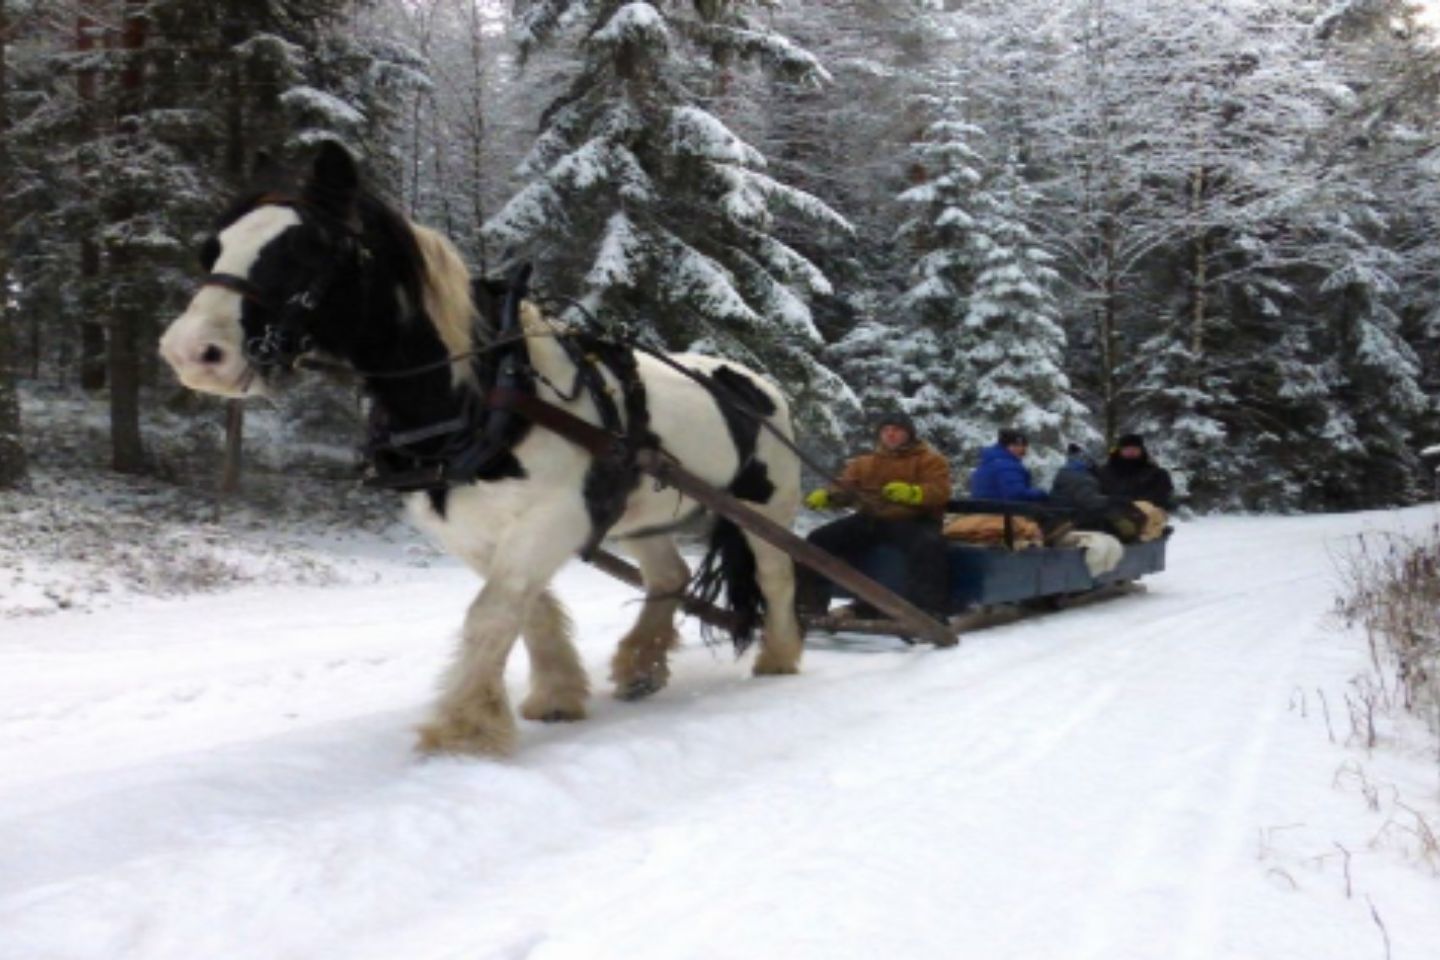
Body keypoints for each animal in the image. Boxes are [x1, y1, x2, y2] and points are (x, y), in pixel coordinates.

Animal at [165, 142, 812, 759]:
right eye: (212, 249)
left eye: (306, 250)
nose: (191, 352)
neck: (487, 392)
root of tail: (758, 383)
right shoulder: (469, 531)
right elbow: (527, 607)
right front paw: (556, 694)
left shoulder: (554, 516)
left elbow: (492, 612)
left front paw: (463, 730)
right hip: (641, 516)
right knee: (669, 575)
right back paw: (641, 665)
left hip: (764, 507)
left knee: (778, 574)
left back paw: (779, 656)